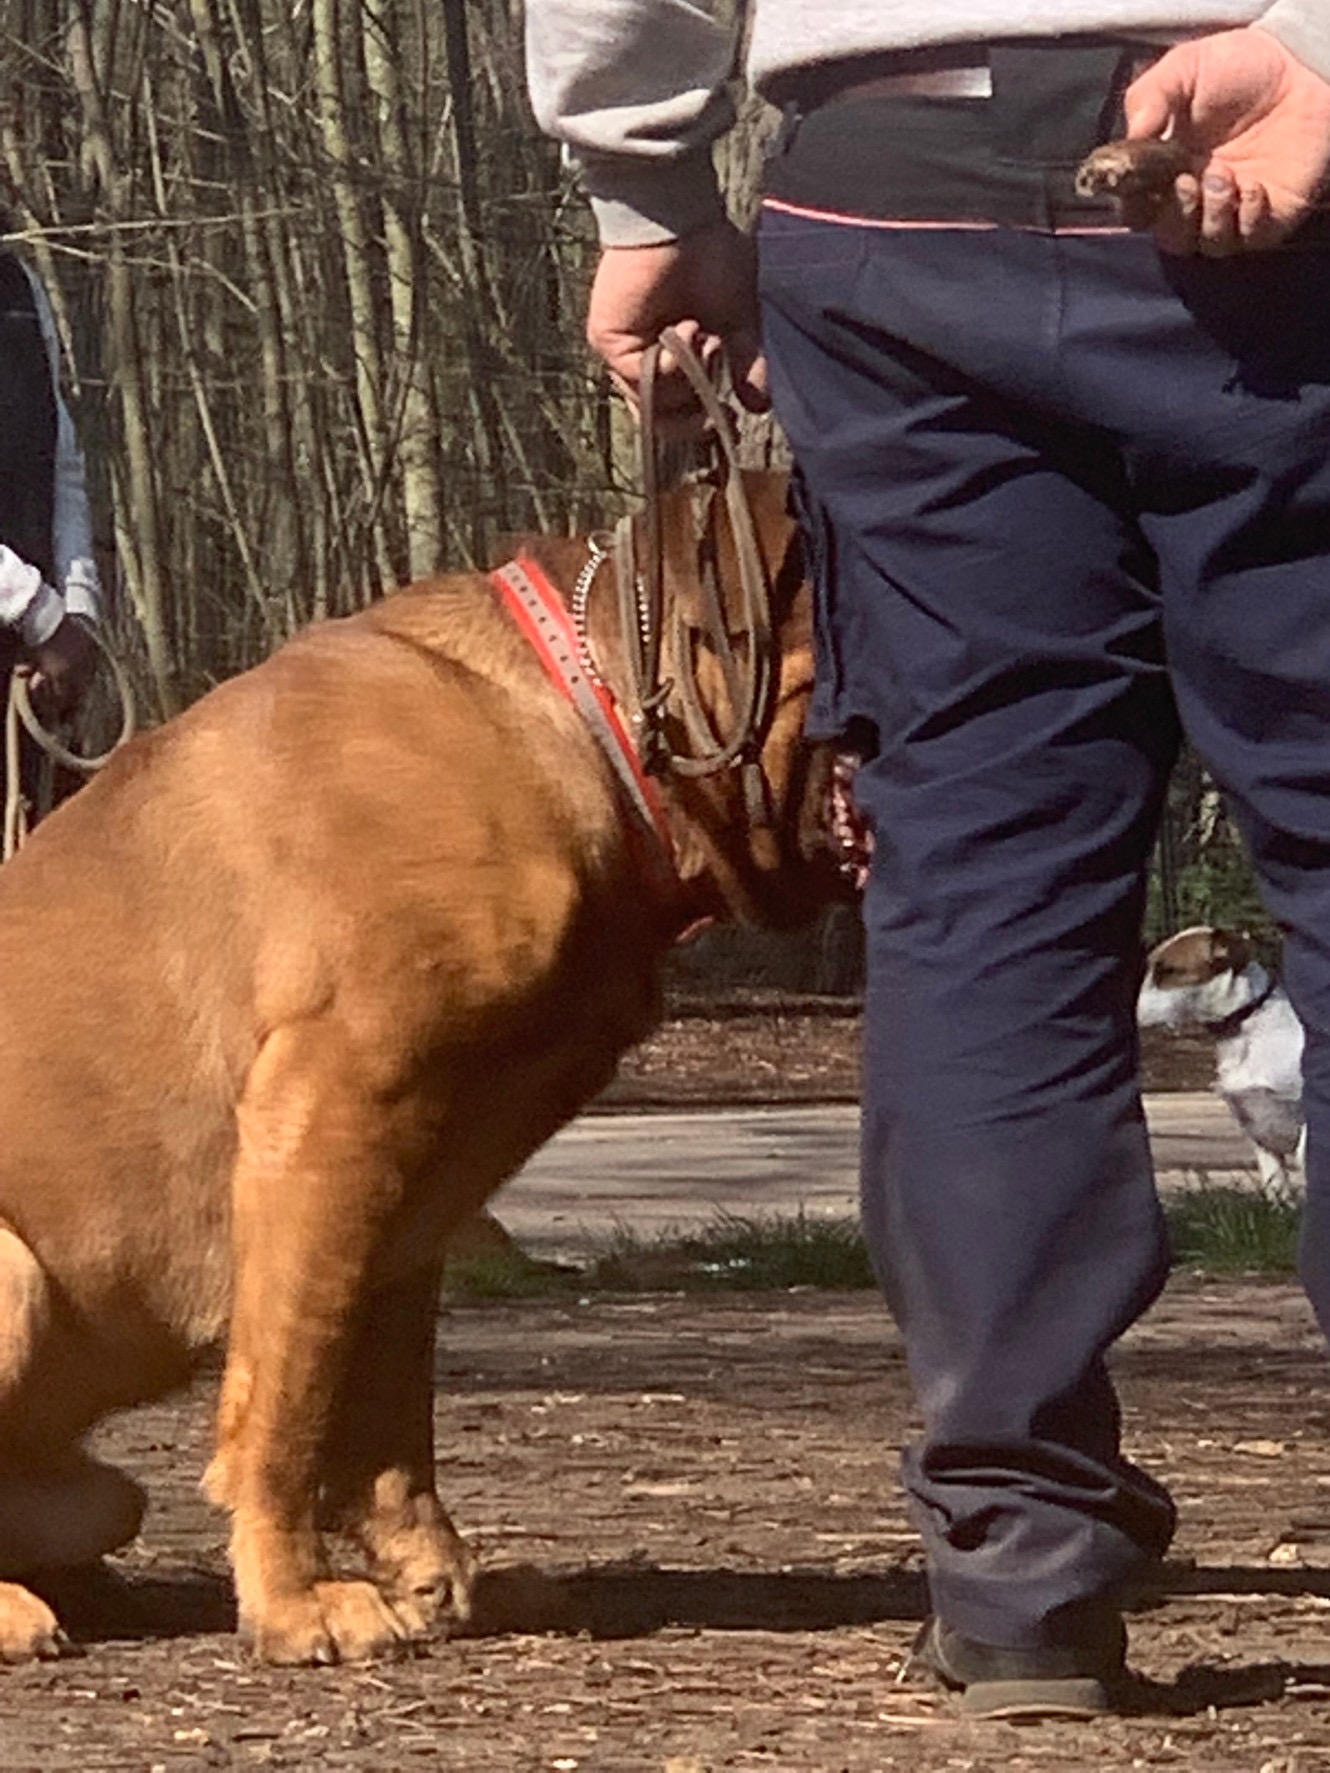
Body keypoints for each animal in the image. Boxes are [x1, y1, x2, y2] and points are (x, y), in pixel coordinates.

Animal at [0, 468, 854, 1659]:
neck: (578, 720)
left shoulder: (413, 1182)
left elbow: (383, 1407)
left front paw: (442, 1580)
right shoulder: (330, 1111)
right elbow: (288, 1393)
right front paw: (295, 1600)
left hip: (100, 1483)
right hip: (14, 1271)